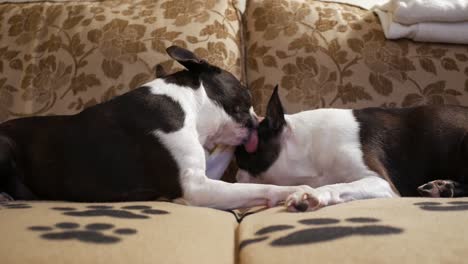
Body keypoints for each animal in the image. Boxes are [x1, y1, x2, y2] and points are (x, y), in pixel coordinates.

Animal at [0, 46, 314, 210]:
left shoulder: (203, 172)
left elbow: (222, 152)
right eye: (246, 94)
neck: (189, 106)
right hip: (6, 145)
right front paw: (297, 191)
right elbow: (263, 186)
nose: (255, 118)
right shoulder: (195, 187)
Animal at [236, 85, 468, 211]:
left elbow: (338, 185)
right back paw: (442, 188)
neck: (308, 149)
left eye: (244, 156)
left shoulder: (380, 182)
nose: (236, 178)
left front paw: (310, 195)